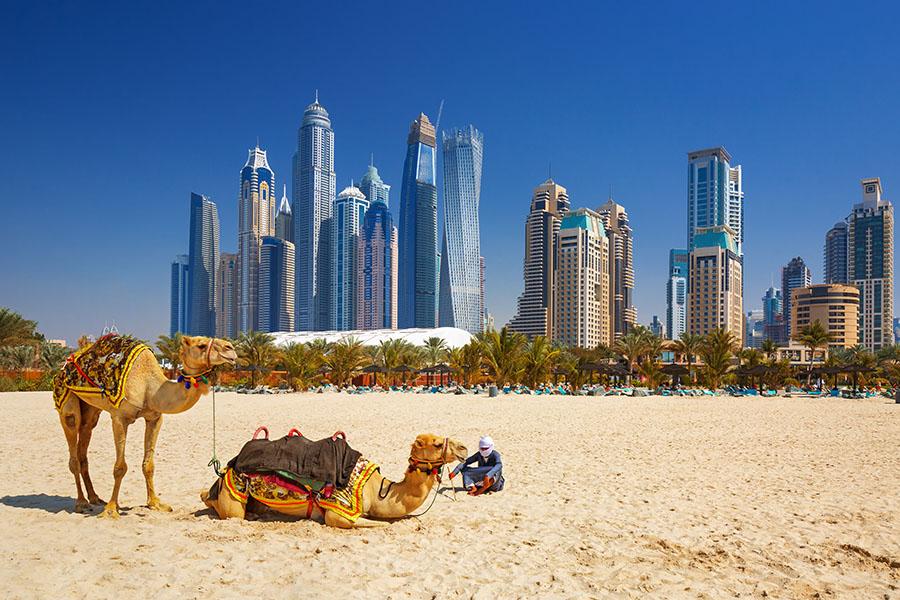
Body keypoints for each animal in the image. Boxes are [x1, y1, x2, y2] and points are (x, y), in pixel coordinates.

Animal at [55, 335, 236, 517]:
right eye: (201, 345)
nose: (231, 348)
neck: (149, 388)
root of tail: (64, 366)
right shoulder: (119, 418)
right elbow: (119, 467)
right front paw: (111, 510)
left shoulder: (155, 418)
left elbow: (148, 465)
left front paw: (155, 503)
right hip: (66, 400)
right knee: (73, 442)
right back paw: (81, 503)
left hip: (91, 410)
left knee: (84, 442)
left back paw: (95, 498)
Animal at [201, 433, 467, 528]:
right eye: (436, 444)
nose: (464, 448)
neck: (376, 489)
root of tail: (228, 467)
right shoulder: (338, 513)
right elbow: (375, 524)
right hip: (232, 500)